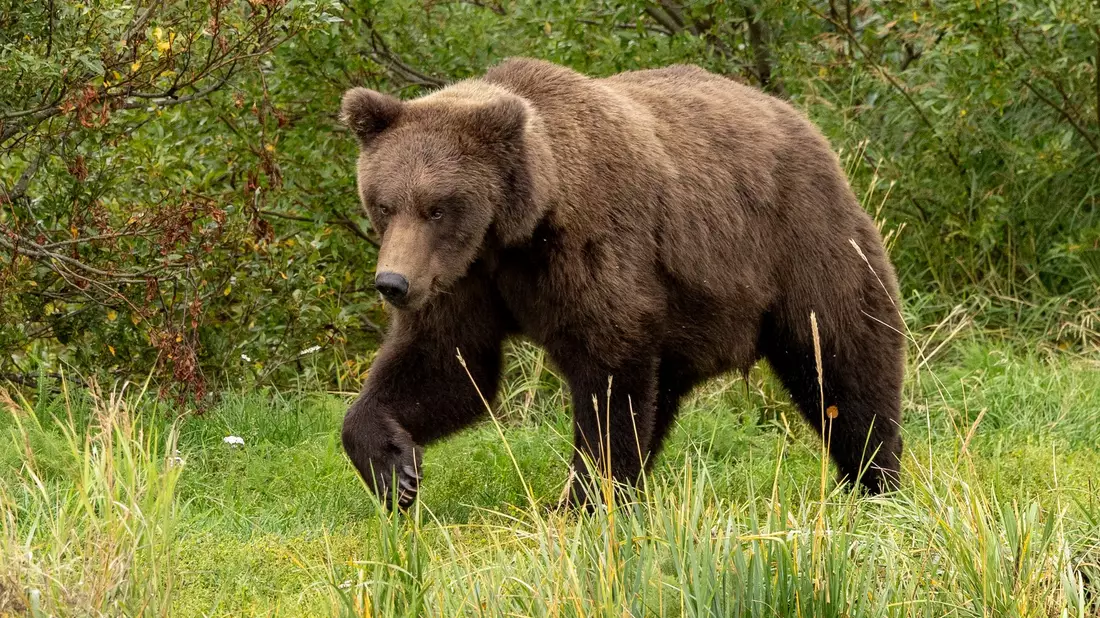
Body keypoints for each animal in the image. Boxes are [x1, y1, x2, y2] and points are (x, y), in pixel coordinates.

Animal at [339, 58, 904, 509]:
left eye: (437, 207)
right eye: (384, 204)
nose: (392, 283)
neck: (517, 231)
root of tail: (803, 122)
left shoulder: (591, 246)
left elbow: (608, 373)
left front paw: (586, 499)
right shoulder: (464, 277)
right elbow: (447, 365)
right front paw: (394, 470)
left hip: (799, 242)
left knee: (843, 358)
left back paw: (877, 479)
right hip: (690, 314)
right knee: (665, 393)